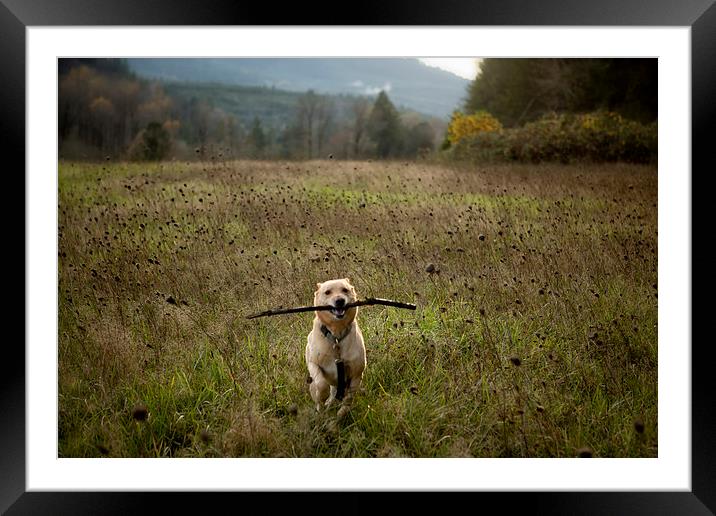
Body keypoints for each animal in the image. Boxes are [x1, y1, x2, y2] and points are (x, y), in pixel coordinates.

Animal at [304, 276, 366, 418]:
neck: (336, 335)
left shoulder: (356, 374)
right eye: (327, 292)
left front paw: (341, 414)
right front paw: (323, 397)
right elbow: (322, 384)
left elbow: (348, 399)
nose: (340, 301)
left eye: (345, 290)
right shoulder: (312, 363)